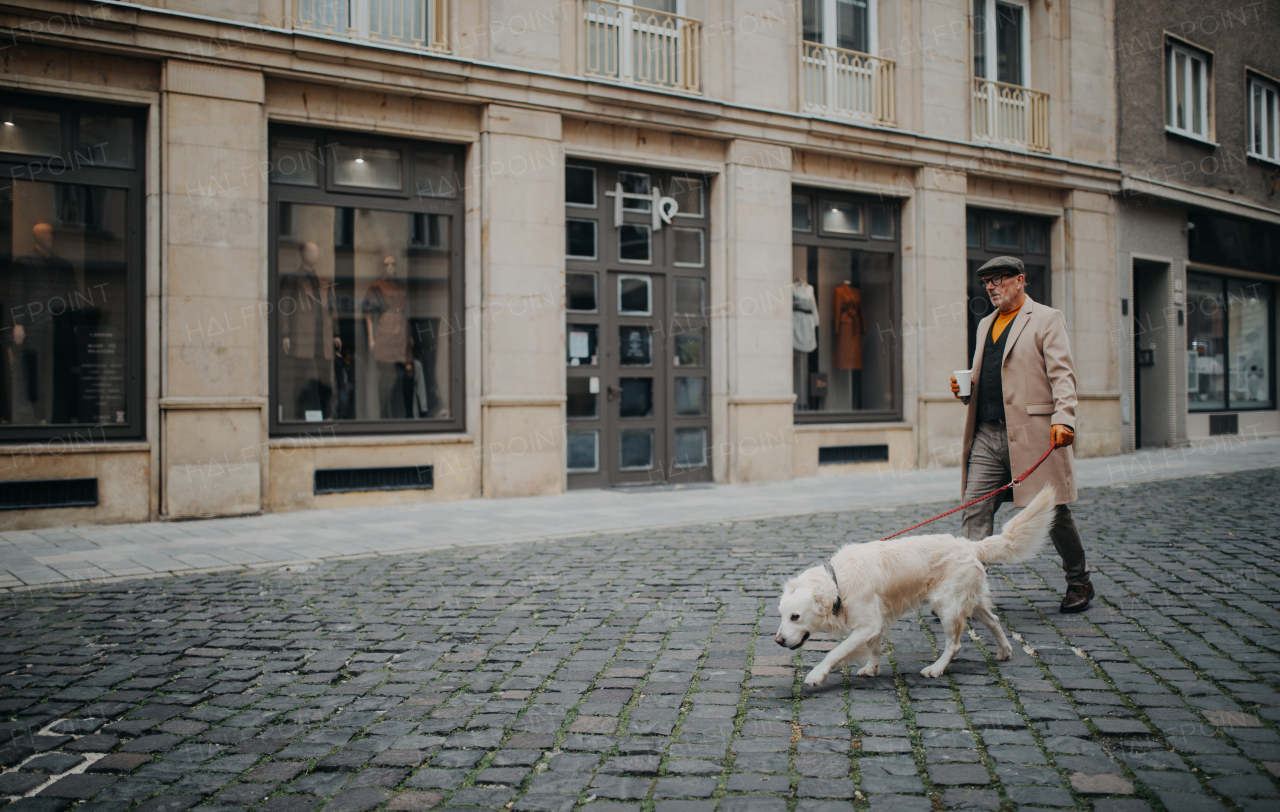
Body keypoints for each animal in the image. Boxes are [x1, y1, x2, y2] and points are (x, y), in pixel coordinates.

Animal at [773, 484, 1054, 681]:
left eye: (795, 617)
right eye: (781, 616)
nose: (777, 641)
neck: (838, 582)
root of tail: (969, 544)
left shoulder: (867, 624)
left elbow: (836, 651)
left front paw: (816, 675)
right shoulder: (876, 623)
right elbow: (875, 648)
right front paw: (871, 669)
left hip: (948, 606)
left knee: (955, 644)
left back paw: (936, 669)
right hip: (971, 601)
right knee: (994, 621)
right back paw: (1005, 651)